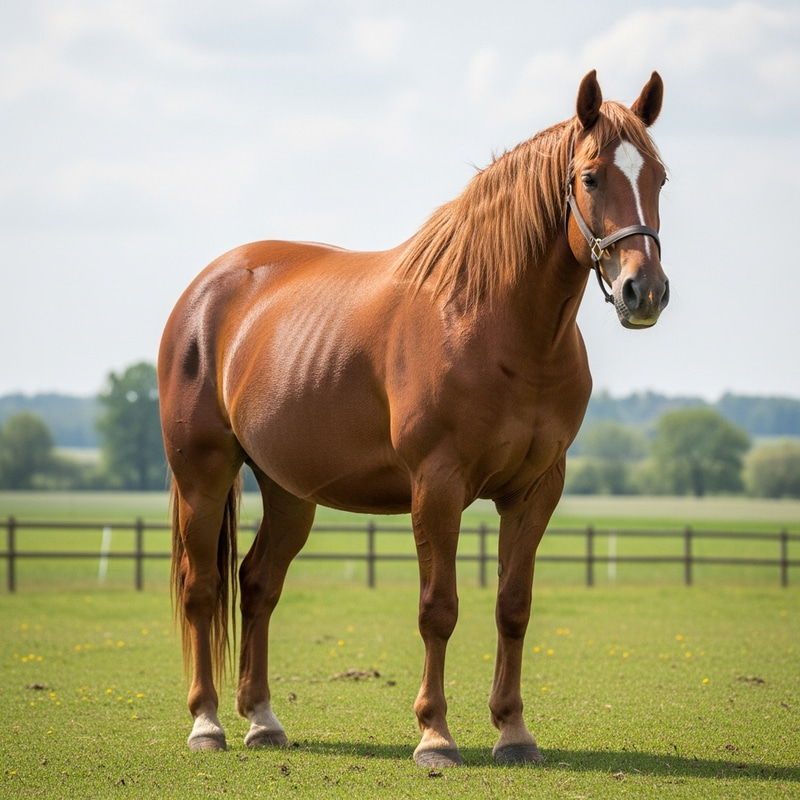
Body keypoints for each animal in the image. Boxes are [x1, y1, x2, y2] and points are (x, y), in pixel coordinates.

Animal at [158, 70, 669, 767]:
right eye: (591, 178)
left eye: (660, 177)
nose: (644, 292)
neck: (495, 322)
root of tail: (205, 291)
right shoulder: (438, 486)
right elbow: (438, 609)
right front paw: (435, 736)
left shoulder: (536, 490)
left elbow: (513, 607)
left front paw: (513, 732)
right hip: (202, 477)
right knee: (203, 588)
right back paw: (206, 723)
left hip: (289, 491)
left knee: (258, 584)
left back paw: (262, 720)